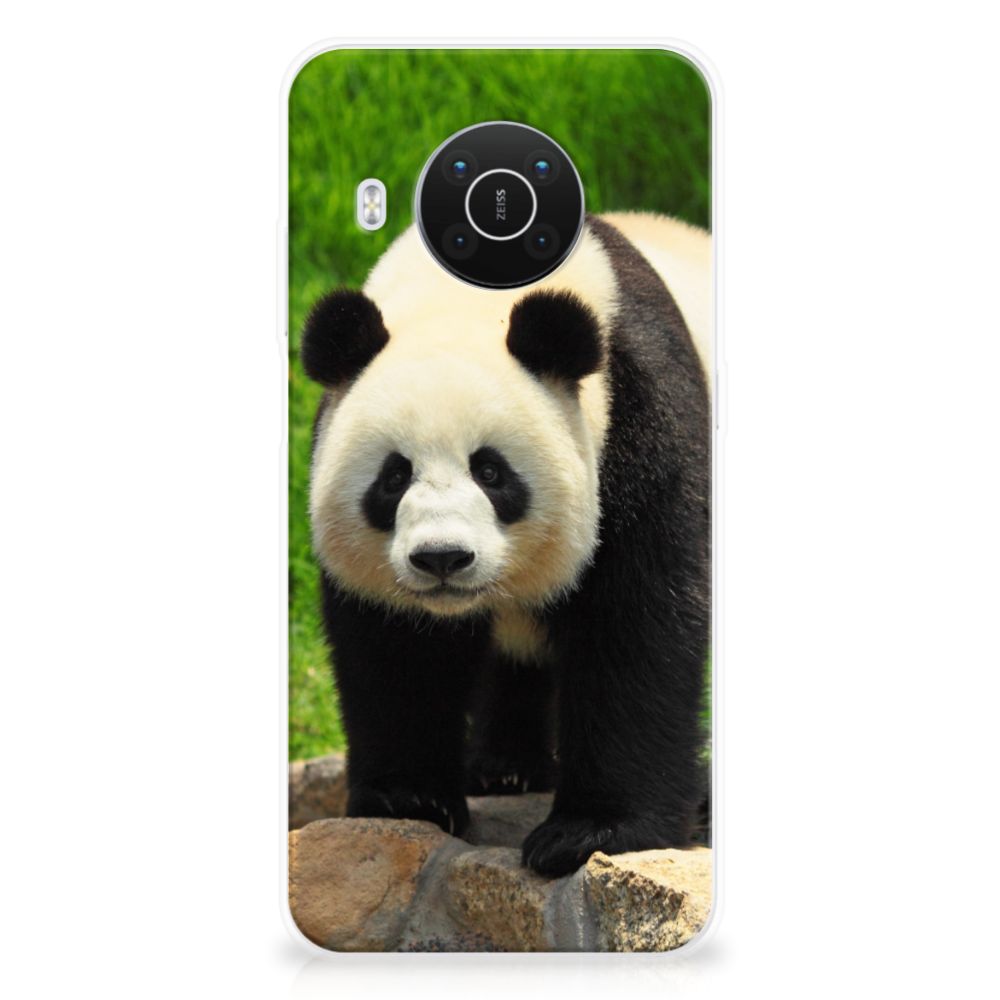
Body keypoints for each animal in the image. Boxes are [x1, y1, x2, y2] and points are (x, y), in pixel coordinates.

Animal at [301, 212, 711, 877]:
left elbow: (637, 623)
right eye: (394, 476)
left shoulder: (641, 419)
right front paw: (408, 799)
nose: (442, 558)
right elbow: (397, 649)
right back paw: (504, 768)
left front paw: (590, 833)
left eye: (491, 472)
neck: (468, 298)